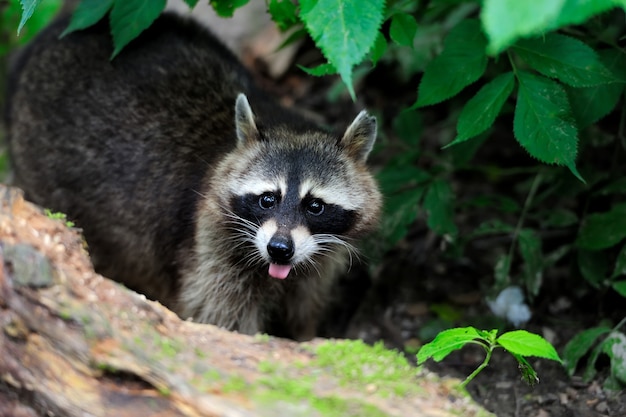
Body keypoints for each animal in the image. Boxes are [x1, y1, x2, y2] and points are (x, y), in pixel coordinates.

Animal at [3, 13, 380, 340]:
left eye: (315, 206)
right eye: (267, 199)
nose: (279, 250)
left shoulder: (320, 261)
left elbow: (304, 310)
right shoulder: (209, 245)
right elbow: (220, 319)